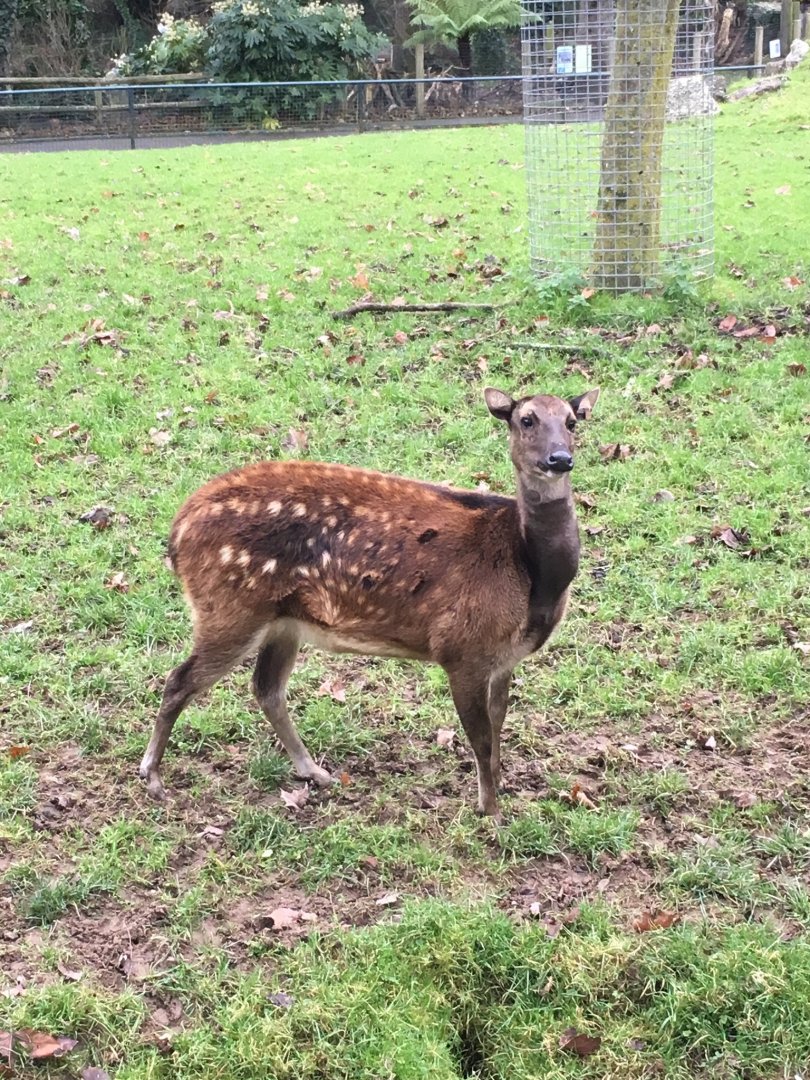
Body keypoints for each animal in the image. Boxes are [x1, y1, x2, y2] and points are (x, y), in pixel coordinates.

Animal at [139, 385, 600, 819]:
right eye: (526, 419)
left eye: (572, 421)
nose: (559, 459)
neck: (533, 578)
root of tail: (177, 534)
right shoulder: (461, 648)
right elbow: (482, 737)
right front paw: (491, 813)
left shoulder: (505, 658)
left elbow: (500, 720)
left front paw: (500, 788)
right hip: (229, 606)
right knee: (179, 680)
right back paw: (153, 777)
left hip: (282, 621)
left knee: (266, 688)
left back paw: (315, 771)